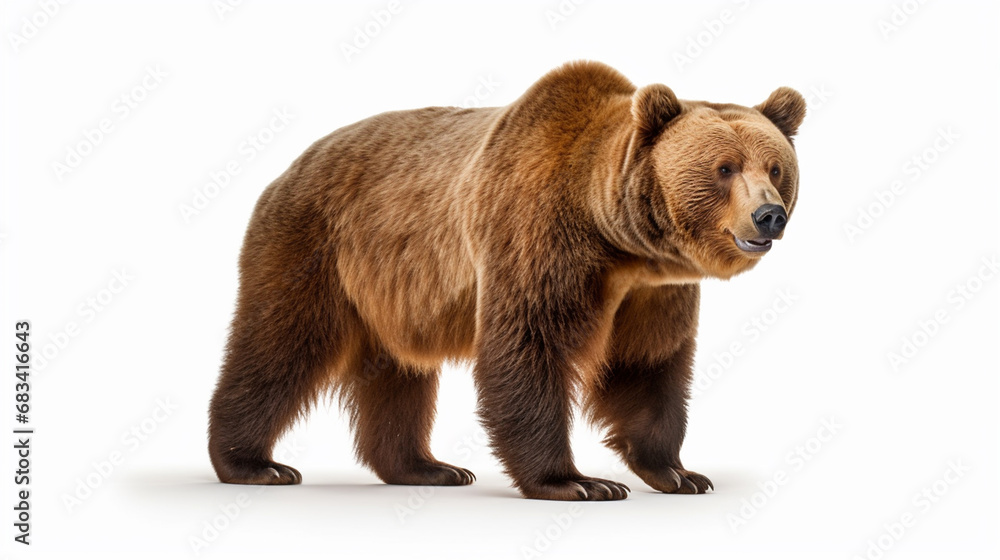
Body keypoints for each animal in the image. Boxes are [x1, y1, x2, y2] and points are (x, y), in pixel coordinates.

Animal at [208, 60, 805, 501]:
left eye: (775, 167)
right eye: (725, 168)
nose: (768, 216)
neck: (618, 244)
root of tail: (290, 166)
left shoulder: (650, 292)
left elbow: (647, 363)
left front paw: (679, 473)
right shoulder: (534, 235)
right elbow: (529, 347)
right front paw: (579, 481)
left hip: (390, 289)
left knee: (399, 372)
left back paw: (428, 467)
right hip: (317, 247)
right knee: (280, 344)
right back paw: (254, 464)